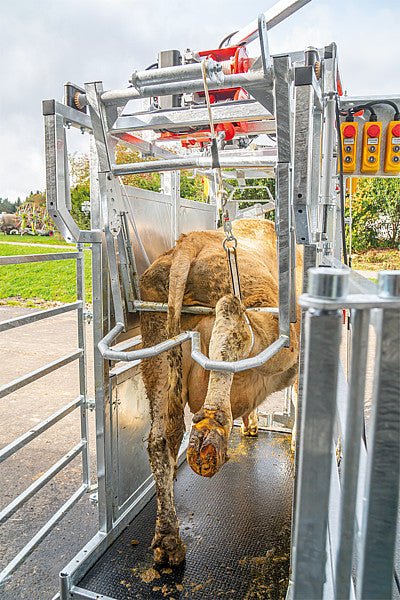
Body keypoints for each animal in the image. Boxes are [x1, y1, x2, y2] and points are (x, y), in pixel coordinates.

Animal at [141, 218, 300, 564]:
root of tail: (192, 240)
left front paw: (252, 425)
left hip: (157, 344)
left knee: (160, 440)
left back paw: (168, 540)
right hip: (273, 326)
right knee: (232, 315)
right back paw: (211, 428)